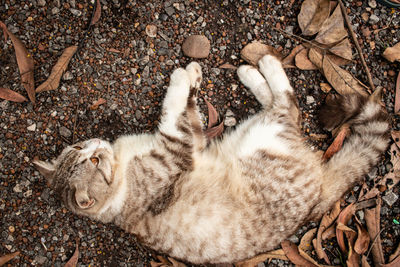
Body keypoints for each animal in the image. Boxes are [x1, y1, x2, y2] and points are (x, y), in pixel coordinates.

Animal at [32, 55, 390, 264]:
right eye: (91, 161)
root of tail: (319, 196)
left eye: (83, 149)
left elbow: (185, 108)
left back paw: (250, 73)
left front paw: (191, 74)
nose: (95, 146)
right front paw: (181, 77)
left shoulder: (193, 137)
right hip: (264, 137)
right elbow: (172, 108)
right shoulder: (177, 147)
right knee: (287, 105)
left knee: (280, 103)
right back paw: (264, 67)